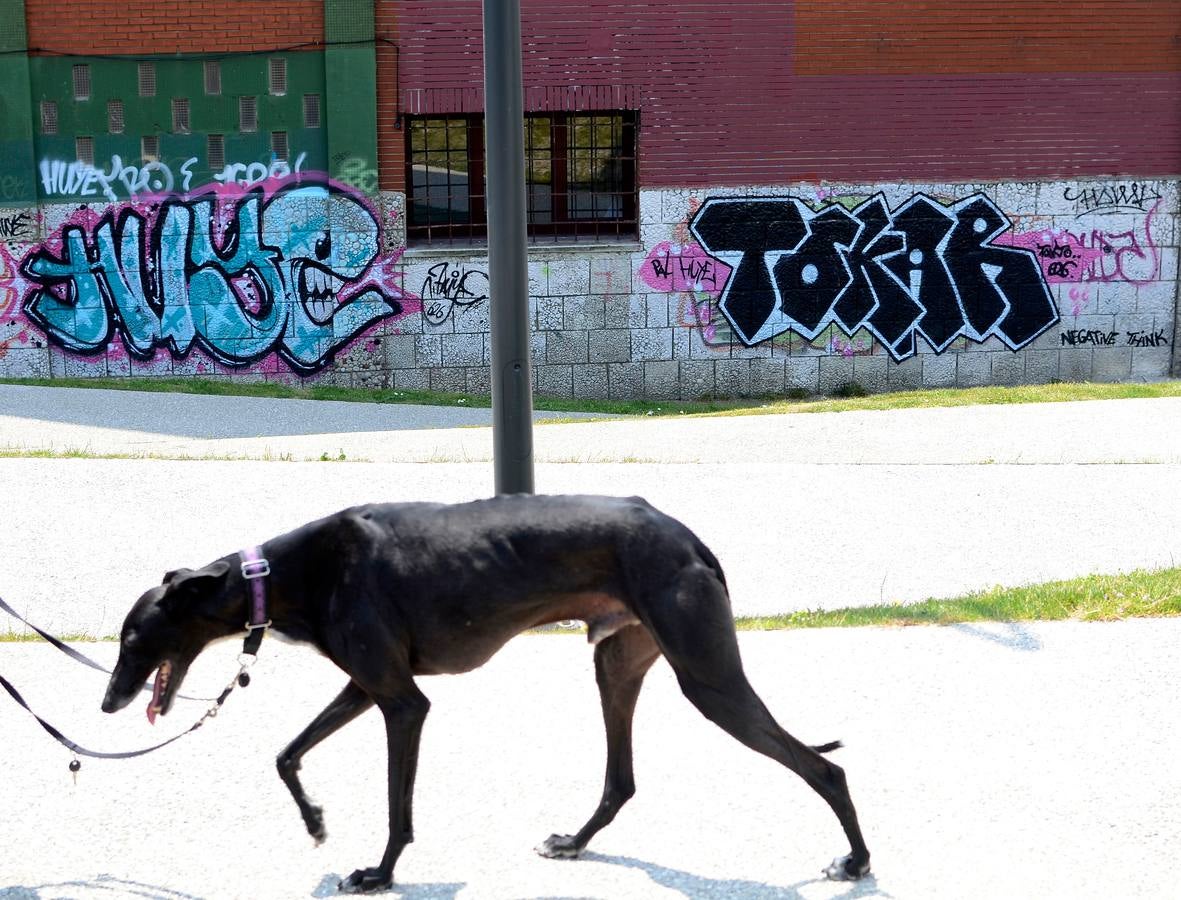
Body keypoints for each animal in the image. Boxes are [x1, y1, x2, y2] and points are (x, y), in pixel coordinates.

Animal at [99, 493, 869, 888]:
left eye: (133, 639)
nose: (107, 704)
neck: (285, 573)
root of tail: (688, 539)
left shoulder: (402, 702)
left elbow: (397, 807)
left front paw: (378, 873)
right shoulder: (367, 683)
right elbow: (287, 754)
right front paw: (315, 820)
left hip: (706, 677)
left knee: (824, 768)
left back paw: (857, 859)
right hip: (617, 663)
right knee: (620, 779)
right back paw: (573, 842)